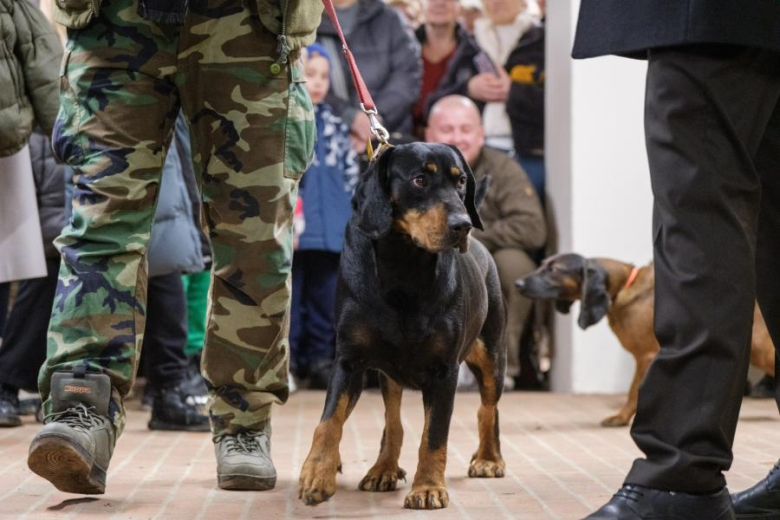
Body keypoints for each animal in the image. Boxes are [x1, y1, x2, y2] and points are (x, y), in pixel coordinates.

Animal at [298, 144, 506, 510]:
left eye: (461, 181)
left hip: (491, 355)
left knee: (488, 408)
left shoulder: (444, 371)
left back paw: (488, 458)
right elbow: (329, 421)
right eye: (419, 179)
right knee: (393, 420)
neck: (402, 262)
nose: (463, 225)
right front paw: (317, 473)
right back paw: (383, 469)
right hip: (388, 374)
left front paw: (428, 488)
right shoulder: (349, 361)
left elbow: (434, 436)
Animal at [516, 254, 776, 428]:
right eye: (542, 265)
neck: (623, 286)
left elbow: (634, 392)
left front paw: (622, 418)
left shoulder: (647, 356)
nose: (518, 283)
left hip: (761, 349)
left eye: (554, 269)